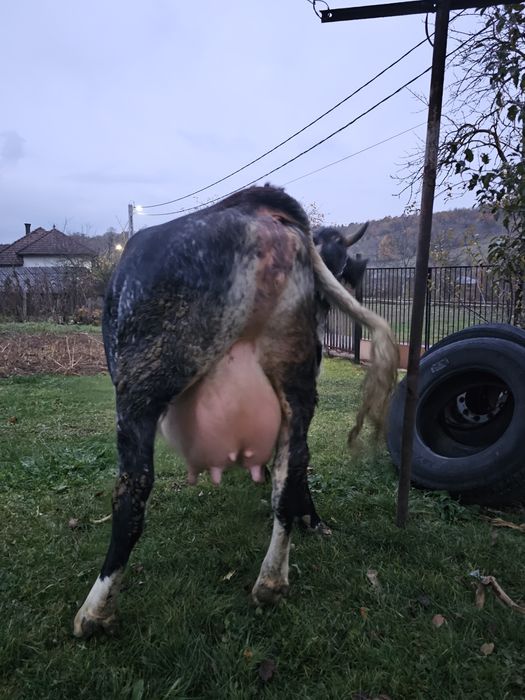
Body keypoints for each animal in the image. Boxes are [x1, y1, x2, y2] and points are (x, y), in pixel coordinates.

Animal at [73, 184, 397, 638]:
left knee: (133, 491)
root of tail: (261, 210)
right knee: (293, 464)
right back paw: (272, 579)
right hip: (295, 376)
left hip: (143, 384)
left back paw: (95, 611)